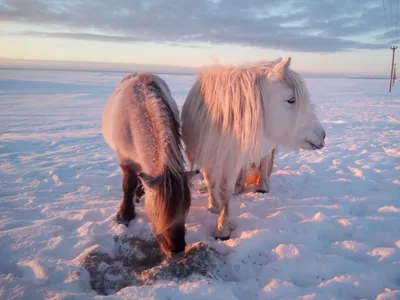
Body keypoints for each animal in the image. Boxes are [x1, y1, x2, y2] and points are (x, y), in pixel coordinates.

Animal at [101, 71, 198, 256]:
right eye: (158, 213)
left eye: (186, 209)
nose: (177, 249)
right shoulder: (125, 160)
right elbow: (128, 184)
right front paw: (125, 215)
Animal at [180, 56, 324, 239]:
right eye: (291, 99)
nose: (323, 135)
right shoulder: (207, 154)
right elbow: (211, 183)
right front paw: (213, 208)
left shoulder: (230, 160)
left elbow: (225, 191)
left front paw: (222, 228)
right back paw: (239, 186)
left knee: (264, 163)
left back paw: (261, 186)